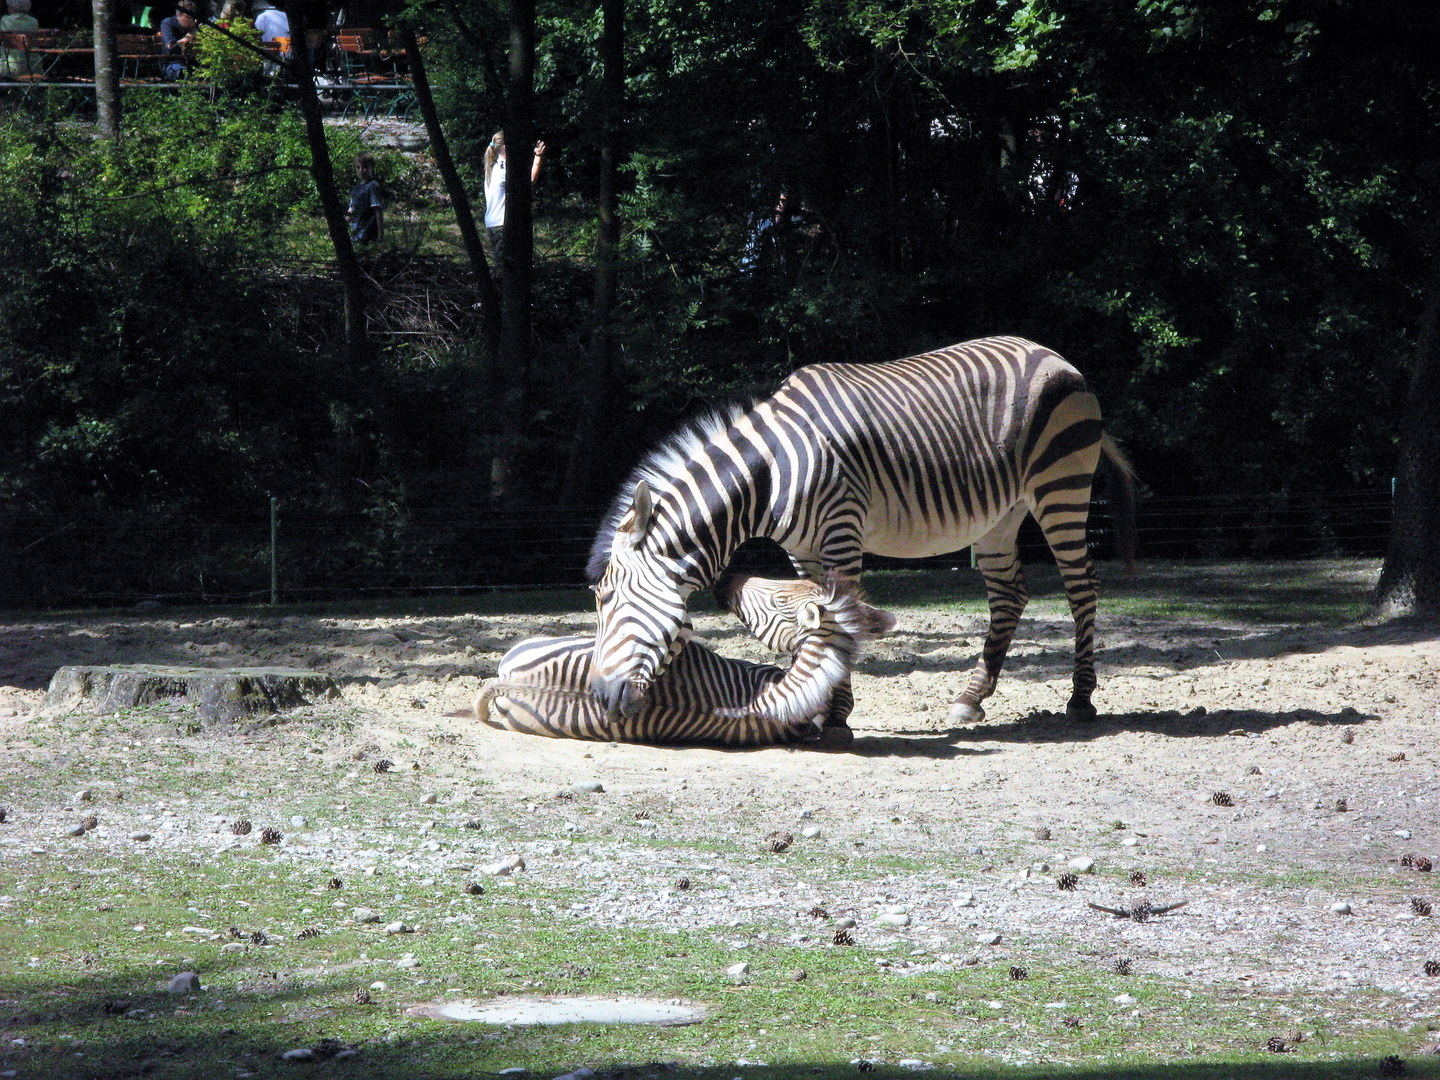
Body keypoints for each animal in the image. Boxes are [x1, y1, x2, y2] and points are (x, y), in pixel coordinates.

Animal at [587, 334, 1134, 731]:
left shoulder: (841, 531)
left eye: (607, 598)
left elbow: (841, 615)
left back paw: (1081, 698)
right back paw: (971, 698)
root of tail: (1053, 354)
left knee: (1081, 585)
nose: (597, 695)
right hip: (1001, 514)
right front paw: (819, 705)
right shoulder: (803, 550)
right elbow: (818, 614)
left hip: (1061, 485)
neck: (771, 474)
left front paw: (835, 717)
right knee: (1009, 594)